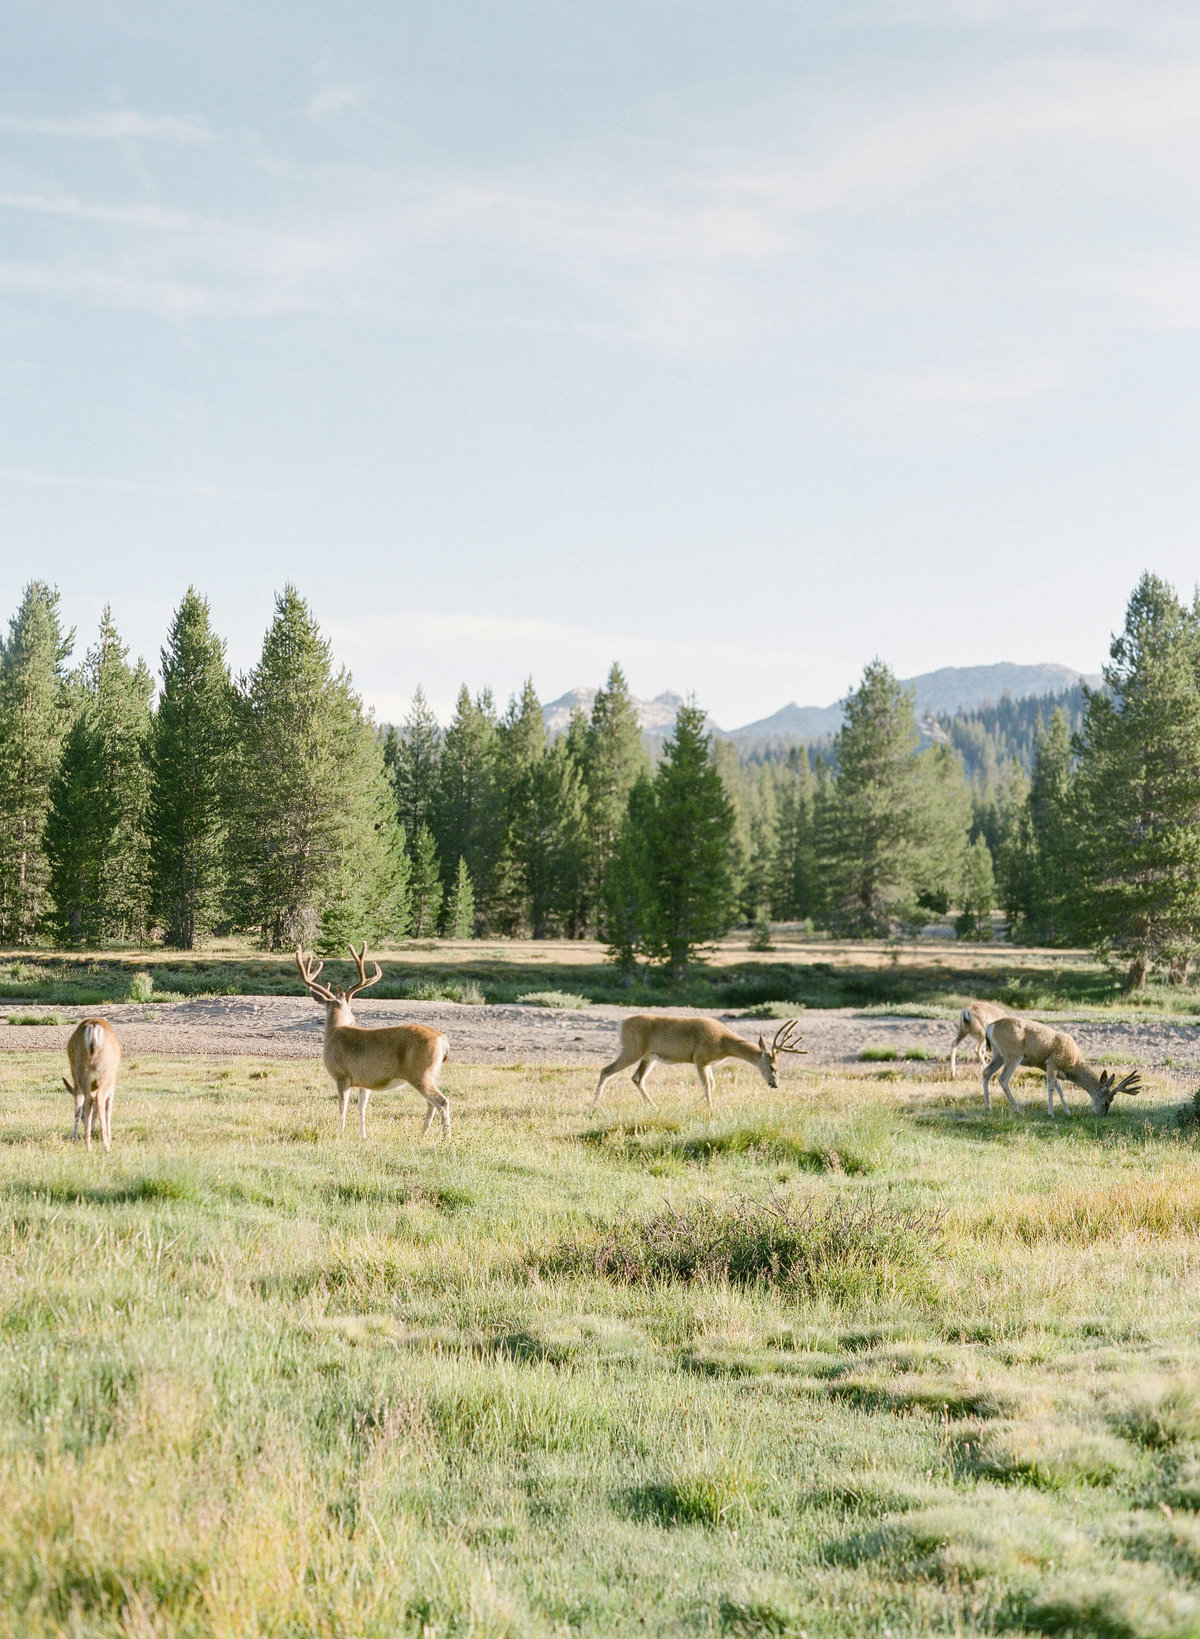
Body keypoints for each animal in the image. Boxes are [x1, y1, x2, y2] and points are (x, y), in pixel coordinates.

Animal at [63, 1016, 122, 1147]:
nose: (91, 1129)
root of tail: (94, 1027)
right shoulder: (113, 1082)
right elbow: (108, 1108)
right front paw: (109, 1137)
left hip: (81, 1072)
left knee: (83, 1102)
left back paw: (84, 1141)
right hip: (102, 1073)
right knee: (95, 1100)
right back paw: (103, 1144)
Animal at [298, 950, 452, 1140]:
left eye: (351, 1006)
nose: (354, 1018)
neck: (333, 1032)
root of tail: (443, 1040)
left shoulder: (342, 1076)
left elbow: (342, 1107)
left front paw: (340, 1134)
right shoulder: (364, 1081)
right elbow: (361, 1107)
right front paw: (363, 1135)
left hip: (420, 1073)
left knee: (442, 1101)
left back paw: (446, 1138)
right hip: (428, 1074)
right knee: (431, 1103)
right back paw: (421, 1134)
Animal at [593, 1009, 806, 1114]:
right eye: (772, 1067)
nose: (775, 1084)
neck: (724, 1042)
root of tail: (621, 1025)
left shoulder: (708, 1063)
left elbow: (712, 1085)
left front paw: (692, 1106)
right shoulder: (700, 1058)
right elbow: (707, 1086)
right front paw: (711, 1110)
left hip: (649, 1056)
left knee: (637, 1078)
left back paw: (654, 1106)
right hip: (633, 1049)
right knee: (606, 1070)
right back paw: (595, 1105)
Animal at [977, 1016, 1140, 1121]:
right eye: (1107, 1102)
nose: (1102, 1115)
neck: (1072, 1064)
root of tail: (990, 1027)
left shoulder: (1048, 1067)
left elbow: (1060, 1089)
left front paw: (1067, 1112)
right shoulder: (1052, 1063)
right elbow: (1051, 1087)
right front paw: (1051, 1114)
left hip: (998, 1054)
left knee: (986, 1072)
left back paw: (988, 1107)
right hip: (1013, 1053)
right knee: (1003, 1078)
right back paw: (1017, 1109)